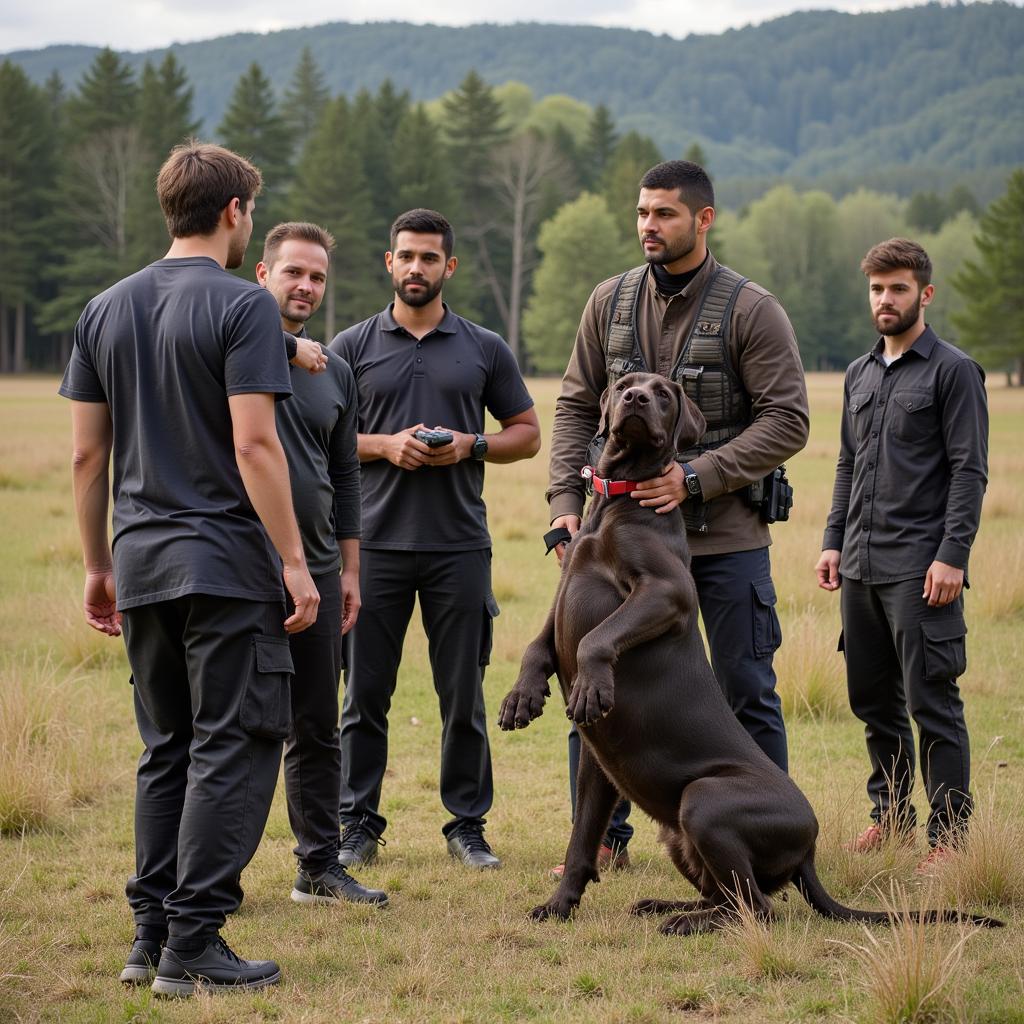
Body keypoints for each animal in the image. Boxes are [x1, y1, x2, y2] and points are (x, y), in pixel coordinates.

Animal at [499, 374, 1003, 937]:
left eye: (663, 394)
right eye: (626, 385)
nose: (635, 400)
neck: (617, 502)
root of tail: (808, 851)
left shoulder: (669, 592)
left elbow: (594, 638)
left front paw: (592, 682)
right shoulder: (591, 746)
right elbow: (580, 838)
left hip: (704, 800)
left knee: (758, 909)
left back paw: (684, 922)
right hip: (675, 832)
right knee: (733, 897)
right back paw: (668, 907)